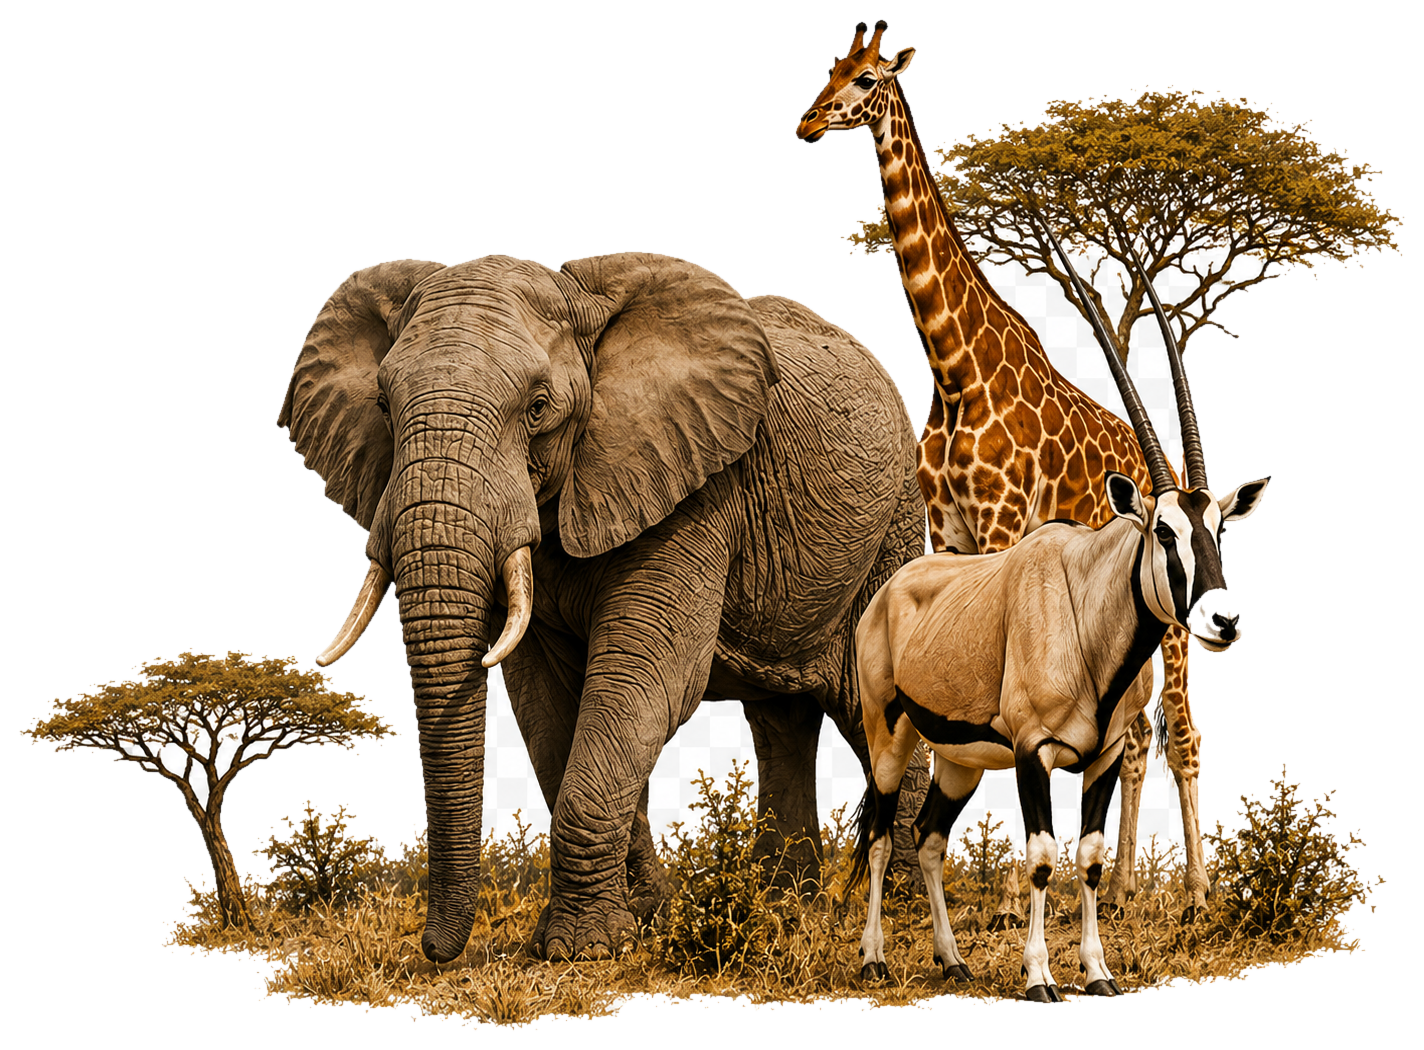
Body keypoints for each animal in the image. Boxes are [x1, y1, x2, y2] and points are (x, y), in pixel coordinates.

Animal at [278, 250, 925, 963]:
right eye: (384, 408)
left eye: (538, 408)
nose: (435, 951)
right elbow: (547, 702)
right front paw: (641, 920)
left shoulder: (696, 485)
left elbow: (645, 678)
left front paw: (579, 950)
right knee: (781, 723)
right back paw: (787, 904)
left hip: (895, 527)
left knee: (875, 712)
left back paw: (903, 909)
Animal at [796, 20, 1207, 922]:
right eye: (830, 68)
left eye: (868, 78)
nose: (806, 123)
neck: (954, 367)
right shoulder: (943, 530)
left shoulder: (1001, 520)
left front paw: (1018, 898)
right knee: (1137, 737)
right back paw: (1127, 887)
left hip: (1169, 618)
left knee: (1181, 730)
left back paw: (1197, 890)